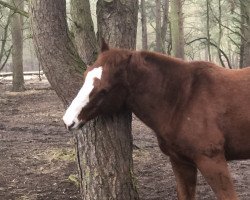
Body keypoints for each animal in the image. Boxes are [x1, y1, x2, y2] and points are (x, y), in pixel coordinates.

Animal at [63, 41, 250, 200]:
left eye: (104, 90)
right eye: (85, 75)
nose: (68, 120)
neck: (184, 98)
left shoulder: (212, 161)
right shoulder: (180, 162)